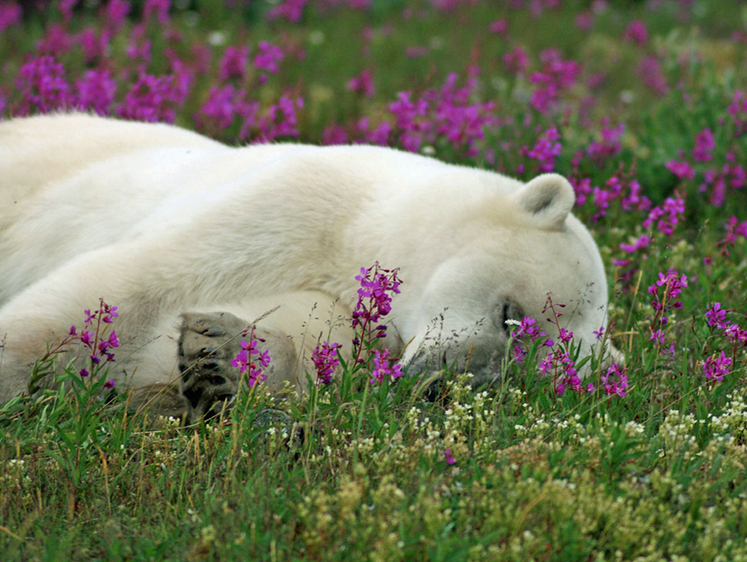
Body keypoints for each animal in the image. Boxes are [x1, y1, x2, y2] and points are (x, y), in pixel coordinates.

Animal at [0, 110, 612, 416]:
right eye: (512, 313)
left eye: (524, 379)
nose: (445, 386)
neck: (362, 226)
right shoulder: (297, 206)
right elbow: (126, 287)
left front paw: (220, 356)